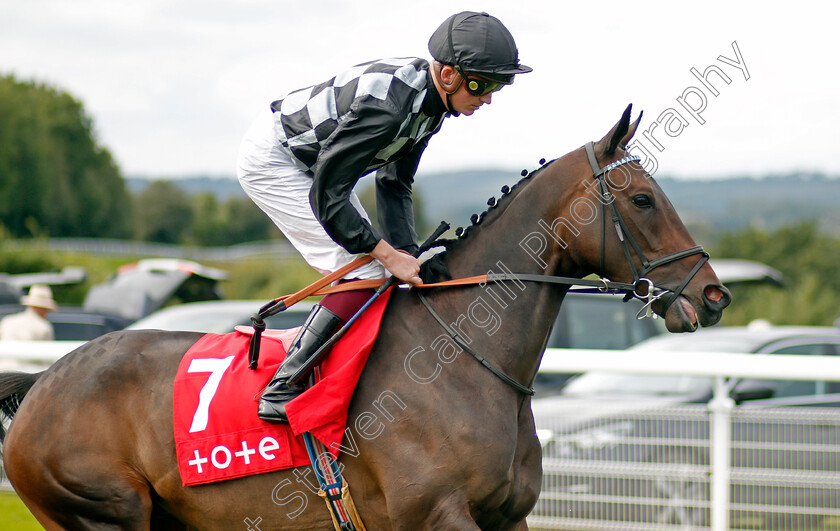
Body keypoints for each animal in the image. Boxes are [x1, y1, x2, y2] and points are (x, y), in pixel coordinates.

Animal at [0, 106, 728, 528]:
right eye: (641, 198)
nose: (714, 295)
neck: (459, 359)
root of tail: (41, 384)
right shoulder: (434, 517)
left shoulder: (508, 517)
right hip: (104, 509)